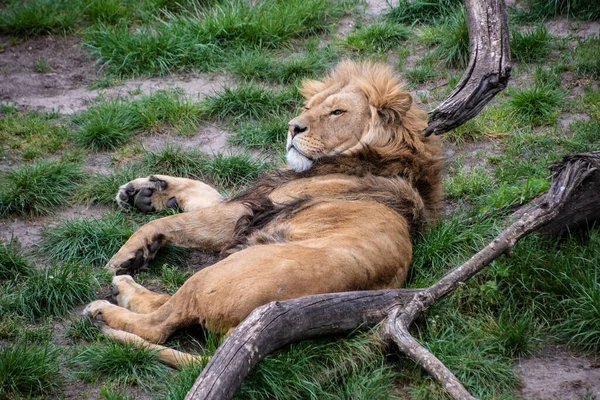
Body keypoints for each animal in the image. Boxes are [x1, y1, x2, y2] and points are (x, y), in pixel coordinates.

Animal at [82, 60, 442, 368]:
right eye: (309, 108)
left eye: (337, 111)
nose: (293, 127)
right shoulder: (252, 203)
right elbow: (201, 194)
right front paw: (144, 192)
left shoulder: (251, 210)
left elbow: (176, 221)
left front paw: (125, 253)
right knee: (164, 307)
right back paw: (124, 285)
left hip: (217, 273)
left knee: (160, 324)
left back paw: (104, 309)